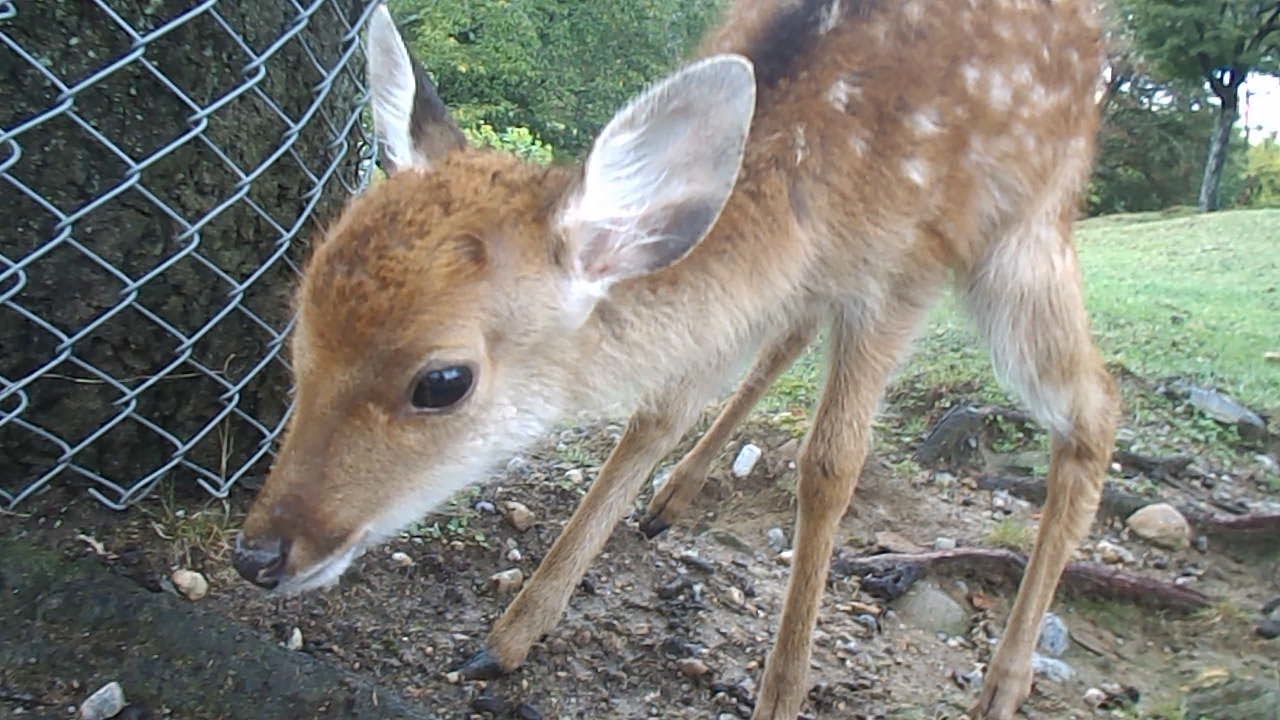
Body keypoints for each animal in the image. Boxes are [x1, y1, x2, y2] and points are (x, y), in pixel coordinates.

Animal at [231, 1, 1118, 718]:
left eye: (442, 380)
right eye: (298, 323)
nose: (257, 554)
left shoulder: (902, 271)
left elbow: (831, 466)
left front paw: (782, 695)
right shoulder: (785, 278)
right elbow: (656, 413)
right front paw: (506, 638)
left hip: (1028, 228)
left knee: (1096, 404)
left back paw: (1005, 682)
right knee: (785, 339)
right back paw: (672, 498)